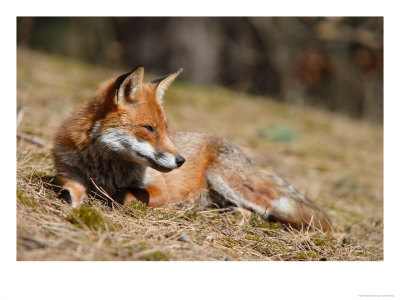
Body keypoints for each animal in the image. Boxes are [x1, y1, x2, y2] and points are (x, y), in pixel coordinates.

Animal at [52, 66, 332, 232]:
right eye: (149, 128)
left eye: (166, 128)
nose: (180, 161)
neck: (106, 170)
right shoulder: (67, 172)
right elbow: (68, 190)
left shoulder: (159, 190)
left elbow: (129, 197)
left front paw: (116, 198)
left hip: (226, 181)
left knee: (263, 210)